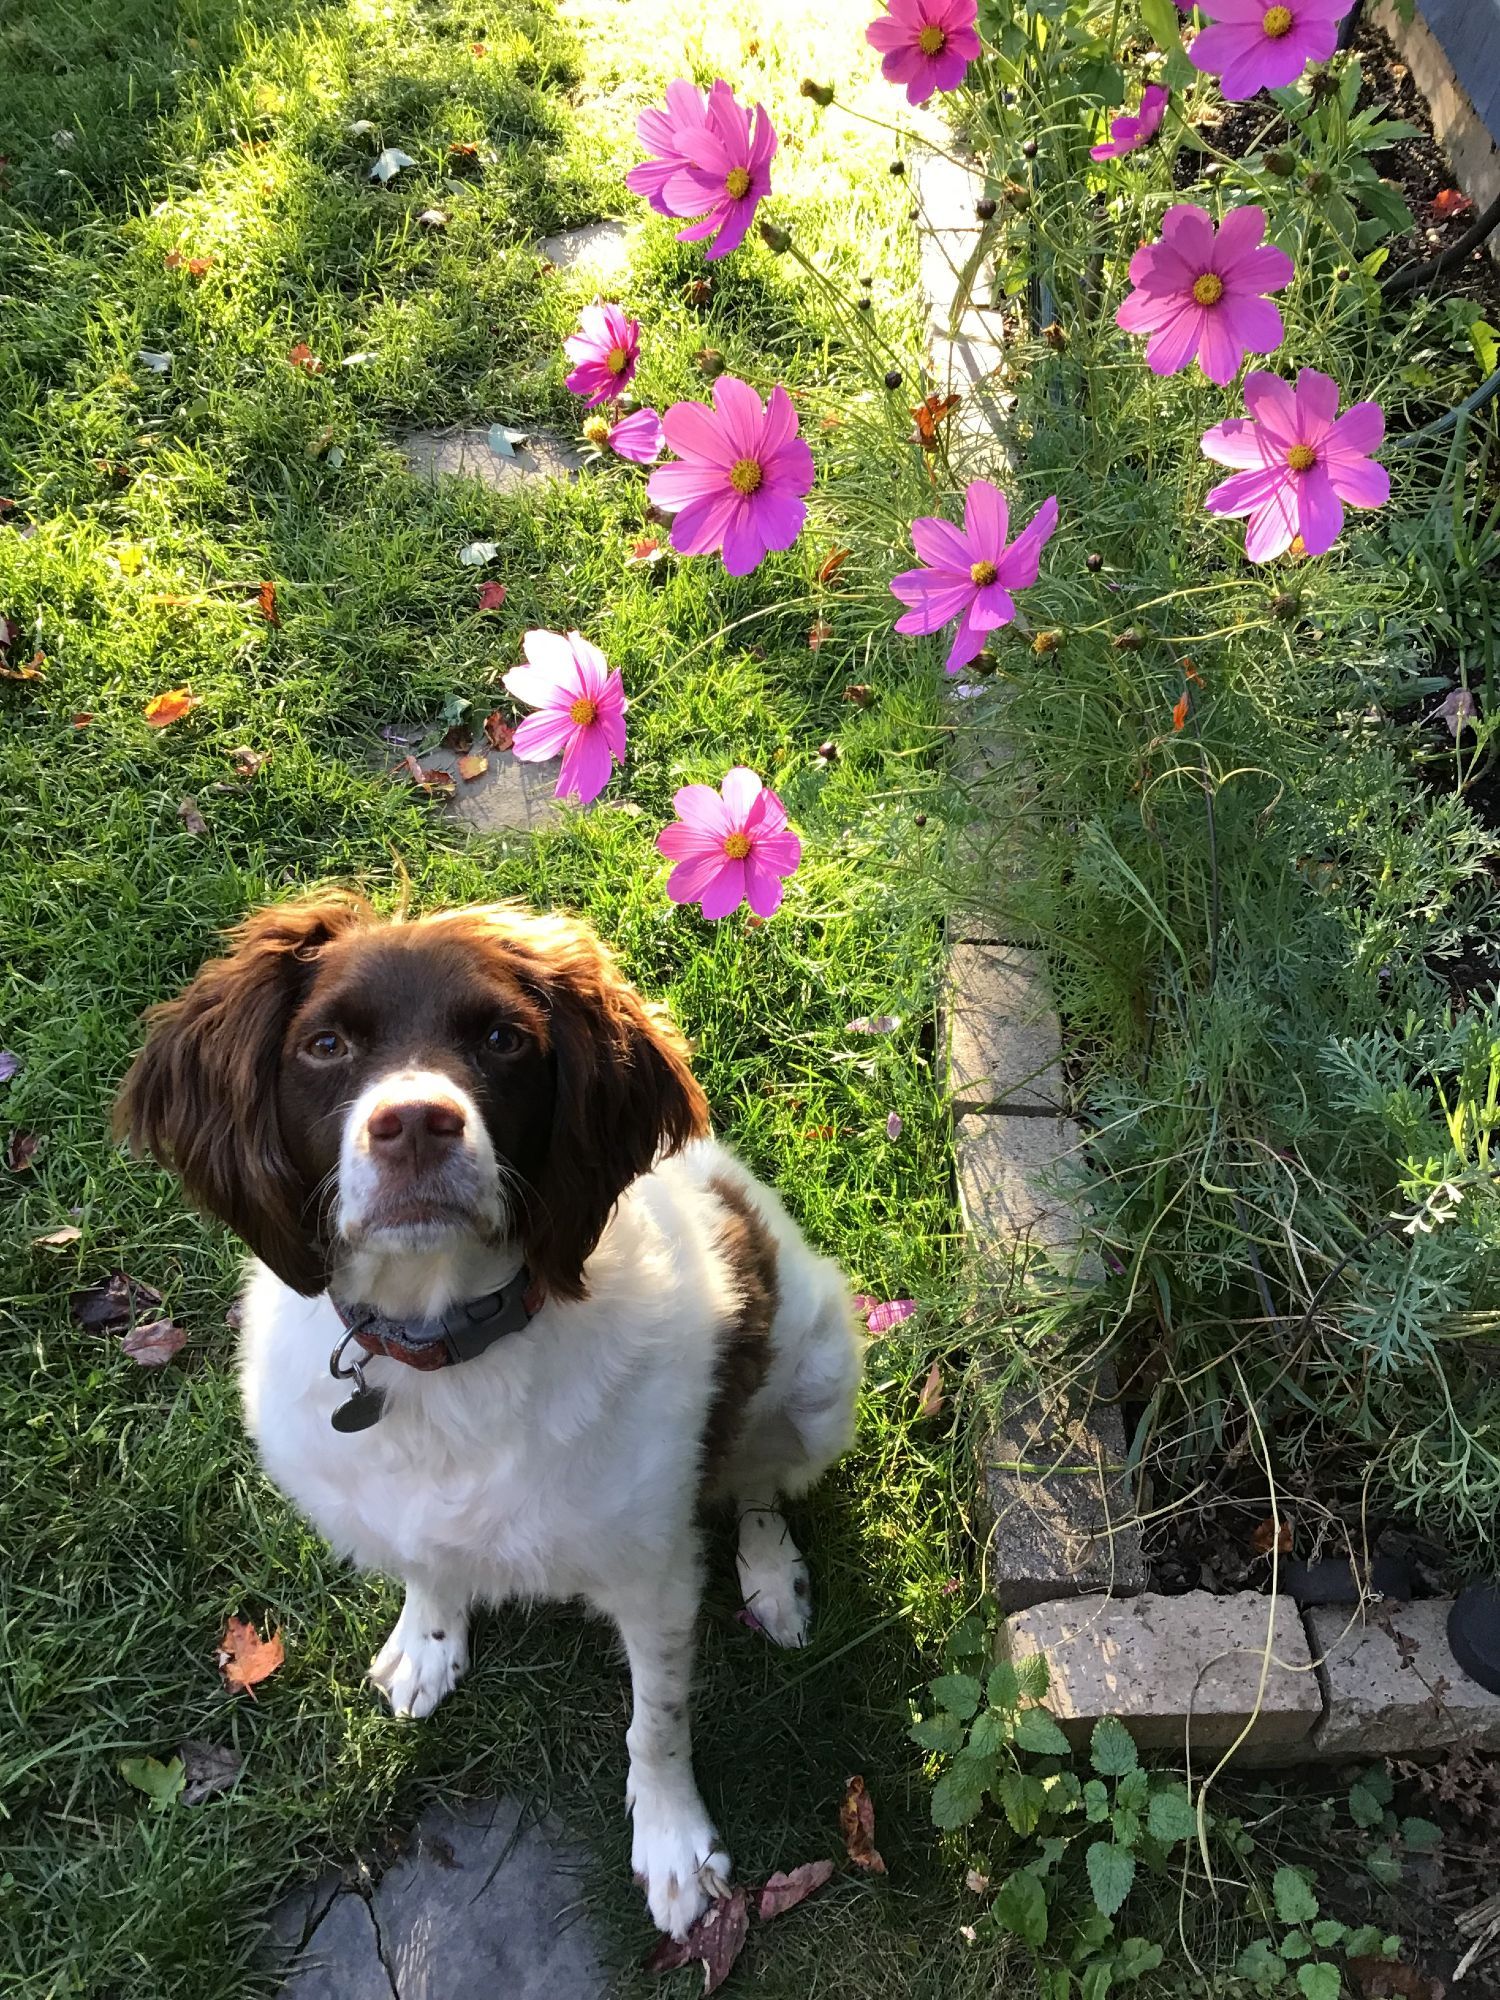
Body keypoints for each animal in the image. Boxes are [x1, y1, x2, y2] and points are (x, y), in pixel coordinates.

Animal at [113, 904, 864, 1936]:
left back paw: (772, 1579)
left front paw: (673, 1844)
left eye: (504, 1040)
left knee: (755, 1478)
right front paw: (427, 1645)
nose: (414, 1124)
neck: (442, 1348)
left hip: (820, 1373)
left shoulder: (654, 1573)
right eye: (325, 1045)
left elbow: (656, 1721)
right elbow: (425, 1564)